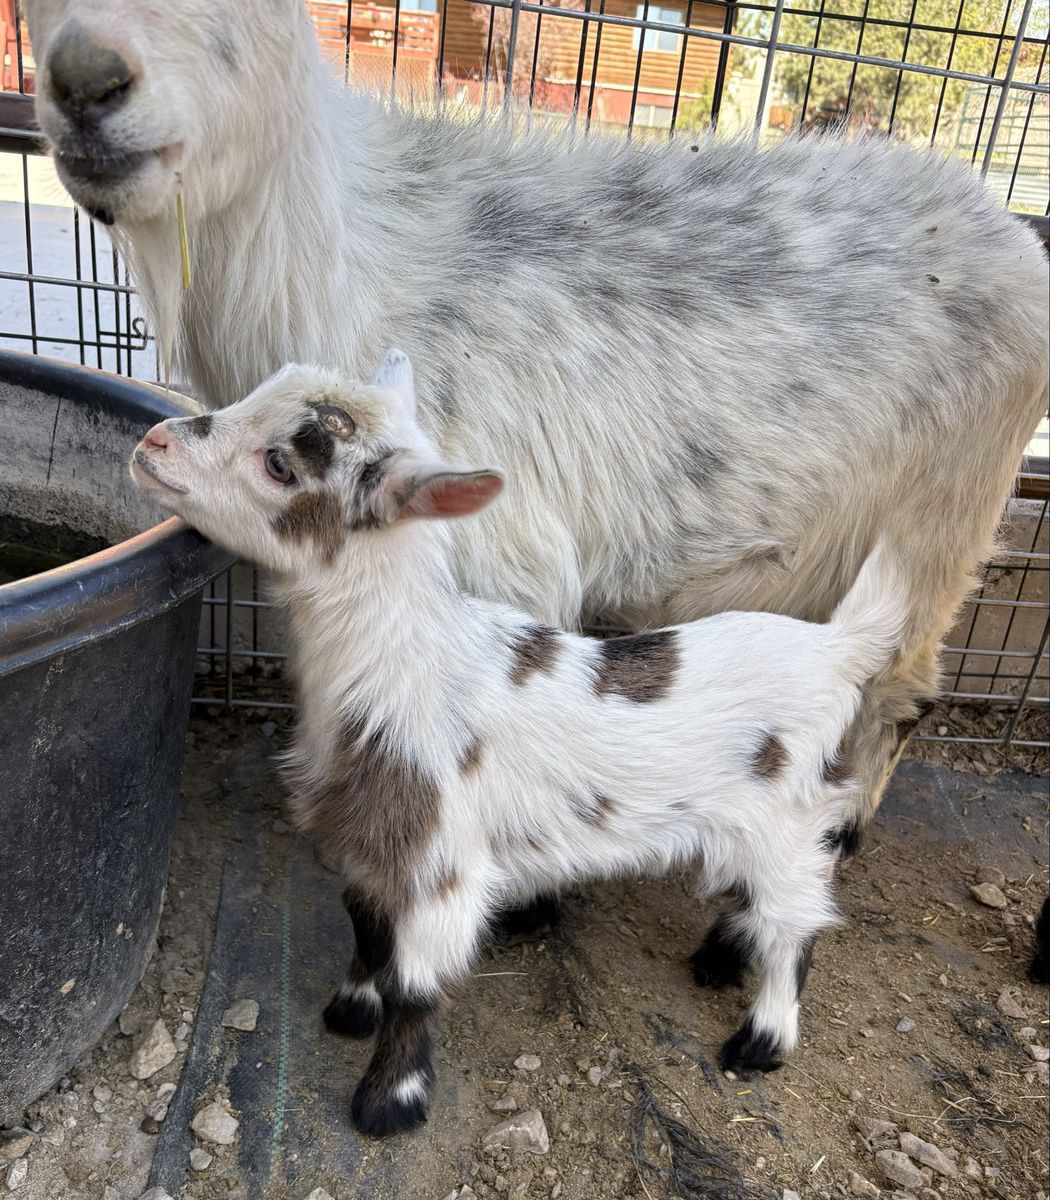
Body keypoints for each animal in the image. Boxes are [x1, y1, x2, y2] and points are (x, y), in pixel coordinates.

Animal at [26, 2, 1049, 879]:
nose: (84, 81)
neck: (351, 249)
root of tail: (1006, 224)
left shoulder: (494, 555)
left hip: (945, 514)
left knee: (904, 690)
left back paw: (844, 827)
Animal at [131, 350, 909, 1137]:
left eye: (280, 464)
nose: (152, 442)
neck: (402, 664)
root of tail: (836, 648)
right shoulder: (369, 839)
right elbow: (367, 930)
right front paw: (350, 1011)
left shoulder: (440, 858)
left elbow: (414, 985)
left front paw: (388, 1103)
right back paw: (720, 959)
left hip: (792, 822)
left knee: (796, 925)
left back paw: (761, 1040)